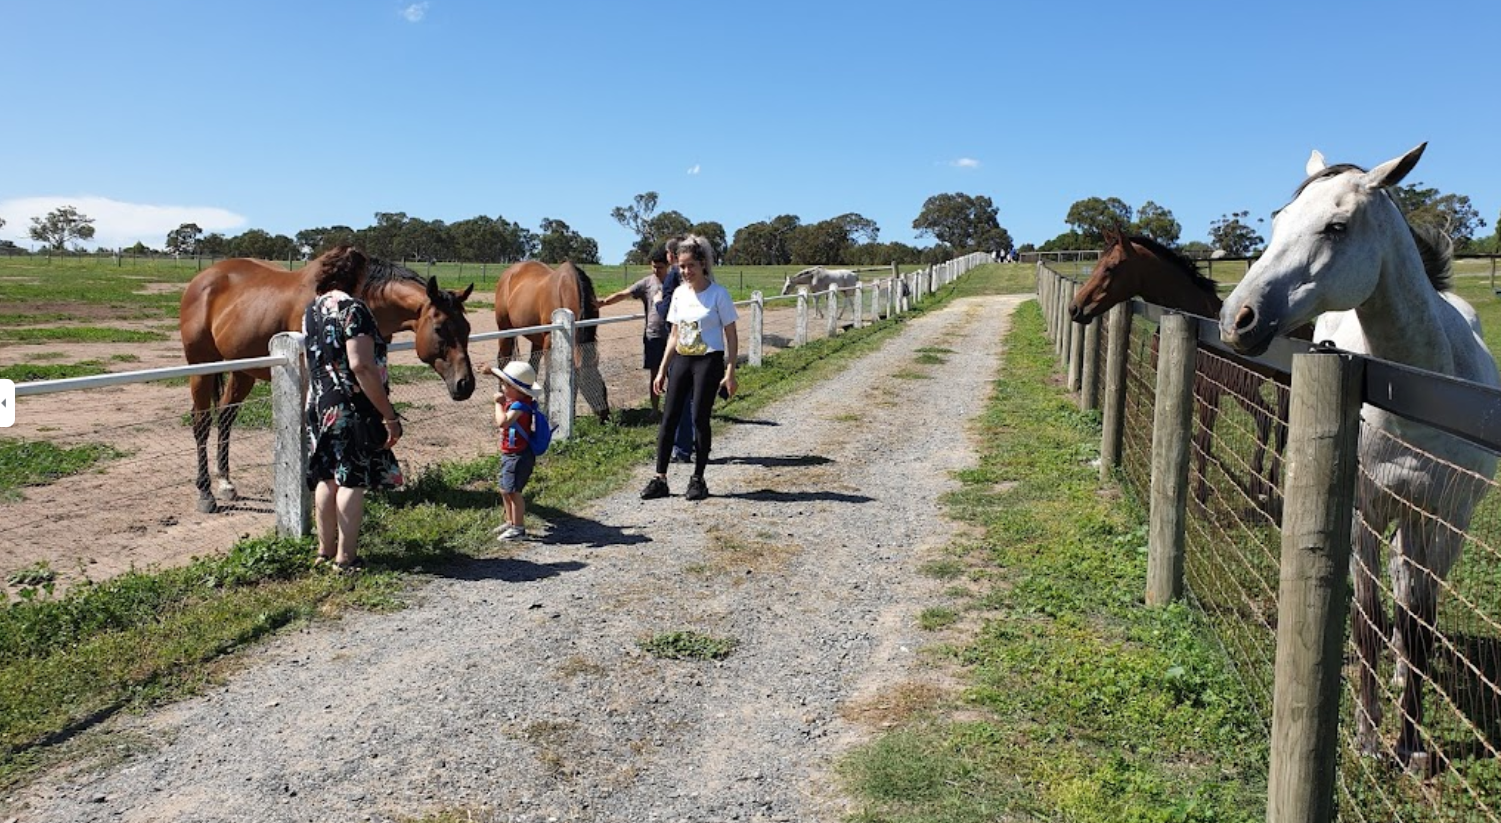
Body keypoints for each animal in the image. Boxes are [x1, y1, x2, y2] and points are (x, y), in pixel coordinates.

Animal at [181, 250, 474, 510]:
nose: (466, 384)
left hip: (242, 371)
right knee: (202, 423)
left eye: (467, 327)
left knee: (226, 417)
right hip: (201, 367)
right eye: (440, 328)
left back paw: (226, 483)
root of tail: (203, 279)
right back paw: (206, 493)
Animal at [492, 259, 609, 420]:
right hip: (505, 329)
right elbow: (550, 381)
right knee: (503, 360)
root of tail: (509, 273)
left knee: (532, 366)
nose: (606, 415)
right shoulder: (549, 343)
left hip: (535, 339)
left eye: (603, 385)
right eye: (591, 385)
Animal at [1068, 231, 1290, 510]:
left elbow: (1203, 442)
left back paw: (1269, 488)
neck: (1200, 319)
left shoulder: (1209, 394)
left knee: (1280, 431)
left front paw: (1200, 497)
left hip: (1280, 388)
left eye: (1110, 267)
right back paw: (1255, 484)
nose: (1075, 308)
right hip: (1244, 390)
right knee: (1265, 418)